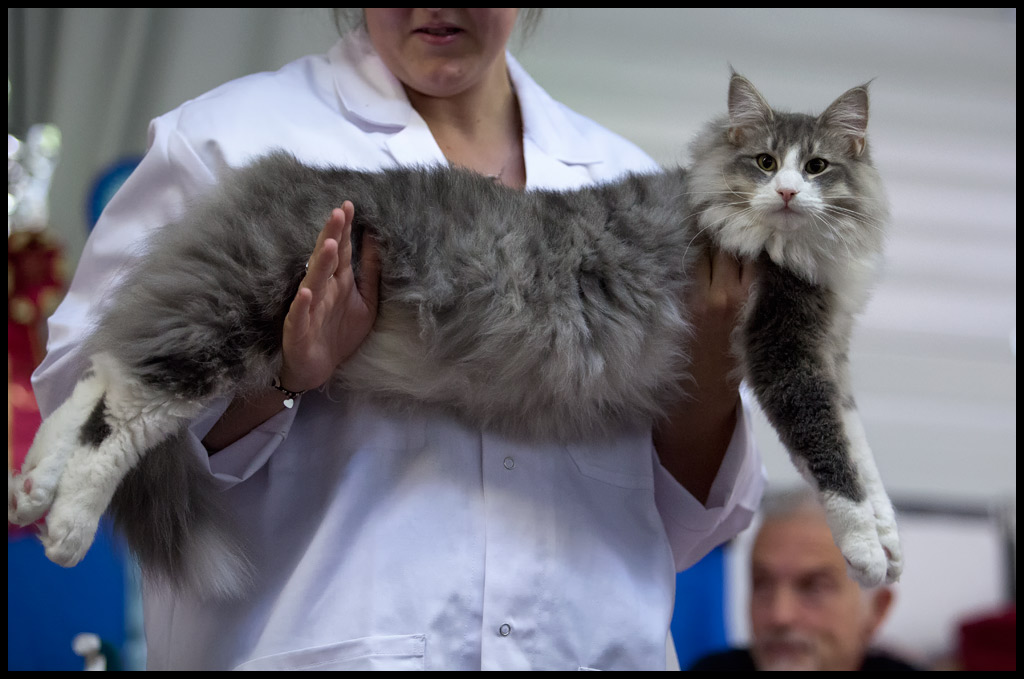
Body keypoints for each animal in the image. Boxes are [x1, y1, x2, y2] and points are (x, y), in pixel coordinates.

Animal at [9, 71, 905, 598]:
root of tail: (267, 176)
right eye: (761, 162)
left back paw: (32, 484)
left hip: (204, 315)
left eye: (819, 167)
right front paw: (865, 552)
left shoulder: (830, 356)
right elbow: (832, 462)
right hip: (239, 322)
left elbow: (860, 451)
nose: (786, 194)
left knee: (97, 375)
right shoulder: (787, 355)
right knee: (119, 415)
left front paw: (892, 540)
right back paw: (66, 527)